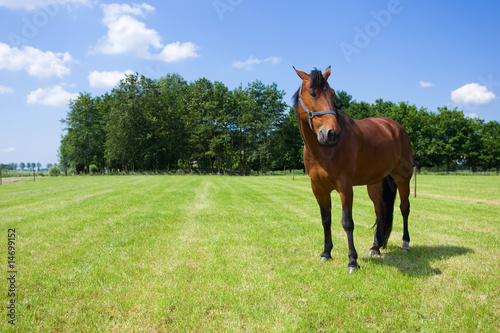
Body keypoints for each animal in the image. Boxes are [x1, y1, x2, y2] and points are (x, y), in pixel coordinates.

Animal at [292, 65, 414, 272]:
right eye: (313, 93)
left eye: (333, 94)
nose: (332, 133)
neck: (323, 151)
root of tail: (396, 128)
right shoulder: (318, 188)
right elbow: (326, 220)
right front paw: (326, 253)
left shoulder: (345, 187)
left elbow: (347, 223)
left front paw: (352, 261)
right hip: (374, 184)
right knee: (381, 211)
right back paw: (375, 247)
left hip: (402, 179)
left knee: (404, 208)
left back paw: (405, 243)